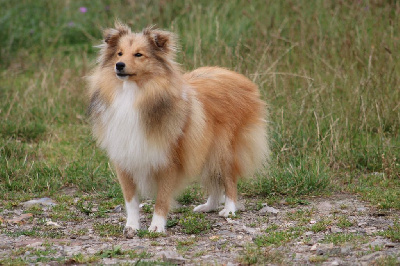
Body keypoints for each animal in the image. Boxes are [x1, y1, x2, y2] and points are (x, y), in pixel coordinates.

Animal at [87, 22, 268, 235]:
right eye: (119, 54)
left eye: (139, 54)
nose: (119, 65)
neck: (134, 94)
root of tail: (240, 78)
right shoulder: (125, 159)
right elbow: (131, 200)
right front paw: (131, 226)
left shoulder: (168, 161)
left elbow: (162, 198)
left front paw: (156, 226)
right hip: (204, 149)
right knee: (215, 181)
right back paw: (208, 206)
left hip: (223, 150)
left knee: (229, 180)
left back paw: (229, 210)